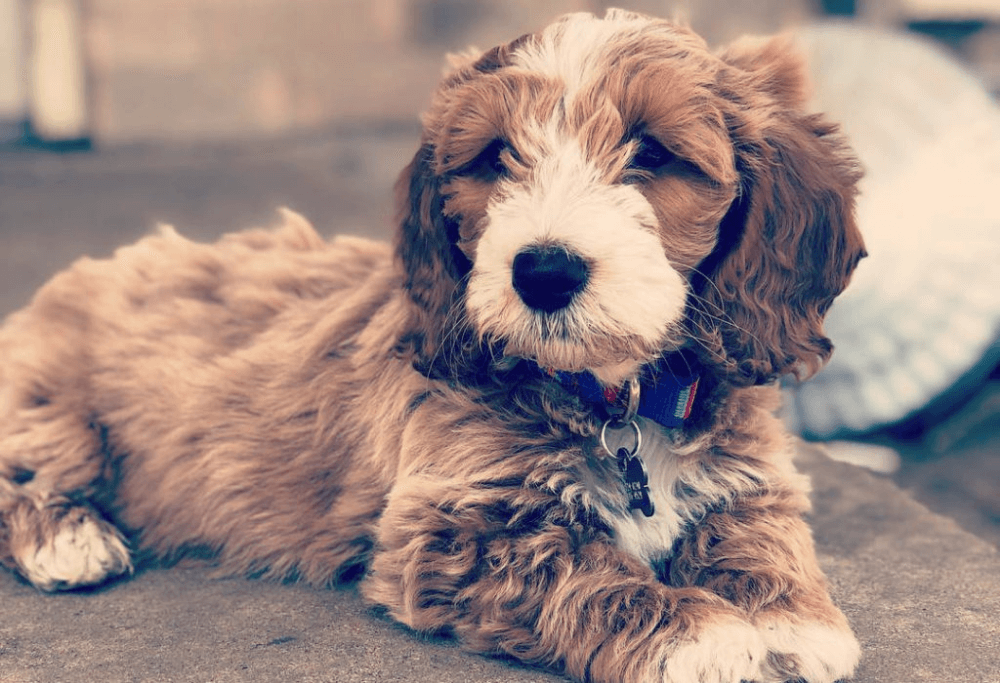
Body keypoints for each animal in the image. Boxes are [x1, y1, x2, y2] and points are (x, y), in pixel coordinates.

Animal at [0, 9, 866, 683]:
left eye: (652, 153)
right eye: (494, 157)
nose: (544, 270)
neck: (610, 393)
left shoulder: (748, 477)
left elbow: (756, 531)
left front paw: (788, 620)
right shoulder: (451, 527)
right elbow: (582, 564)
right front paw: (698, 630)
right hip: (50, 407)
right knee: (28, 472)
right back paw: (70, 539)